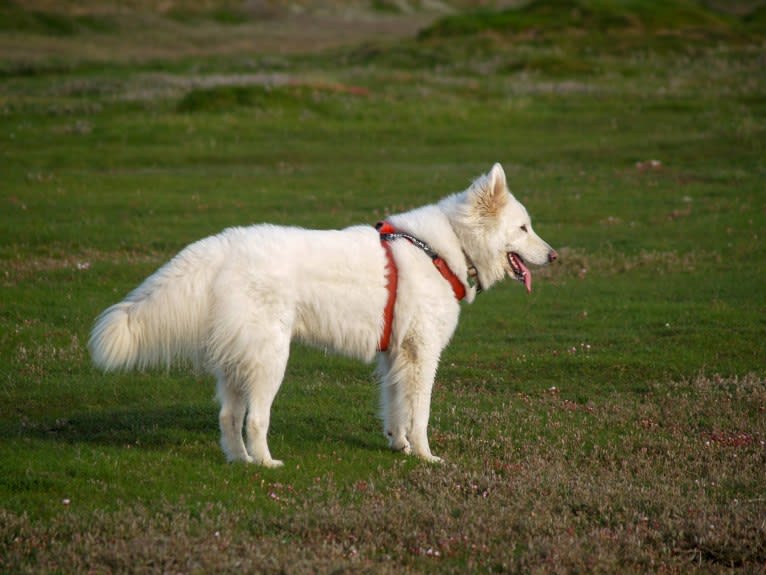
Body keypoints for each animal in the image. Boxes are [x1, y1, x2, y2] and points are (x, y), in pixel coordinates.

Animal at [90, 163, 560, 468]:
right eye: (523, 228)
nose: (555, 256)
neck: (446, 248)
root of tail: (222, 245)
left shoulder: (395, 356)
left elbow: (395, 408)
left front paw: (400, 446)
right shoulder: (422, 354)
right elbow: (420, 413)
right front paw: (427, 457)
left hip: (239, 361)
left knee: (229, 417)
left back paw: (241, 461)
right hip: (270, 359)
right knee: (255, 419)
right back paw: (266, 464)